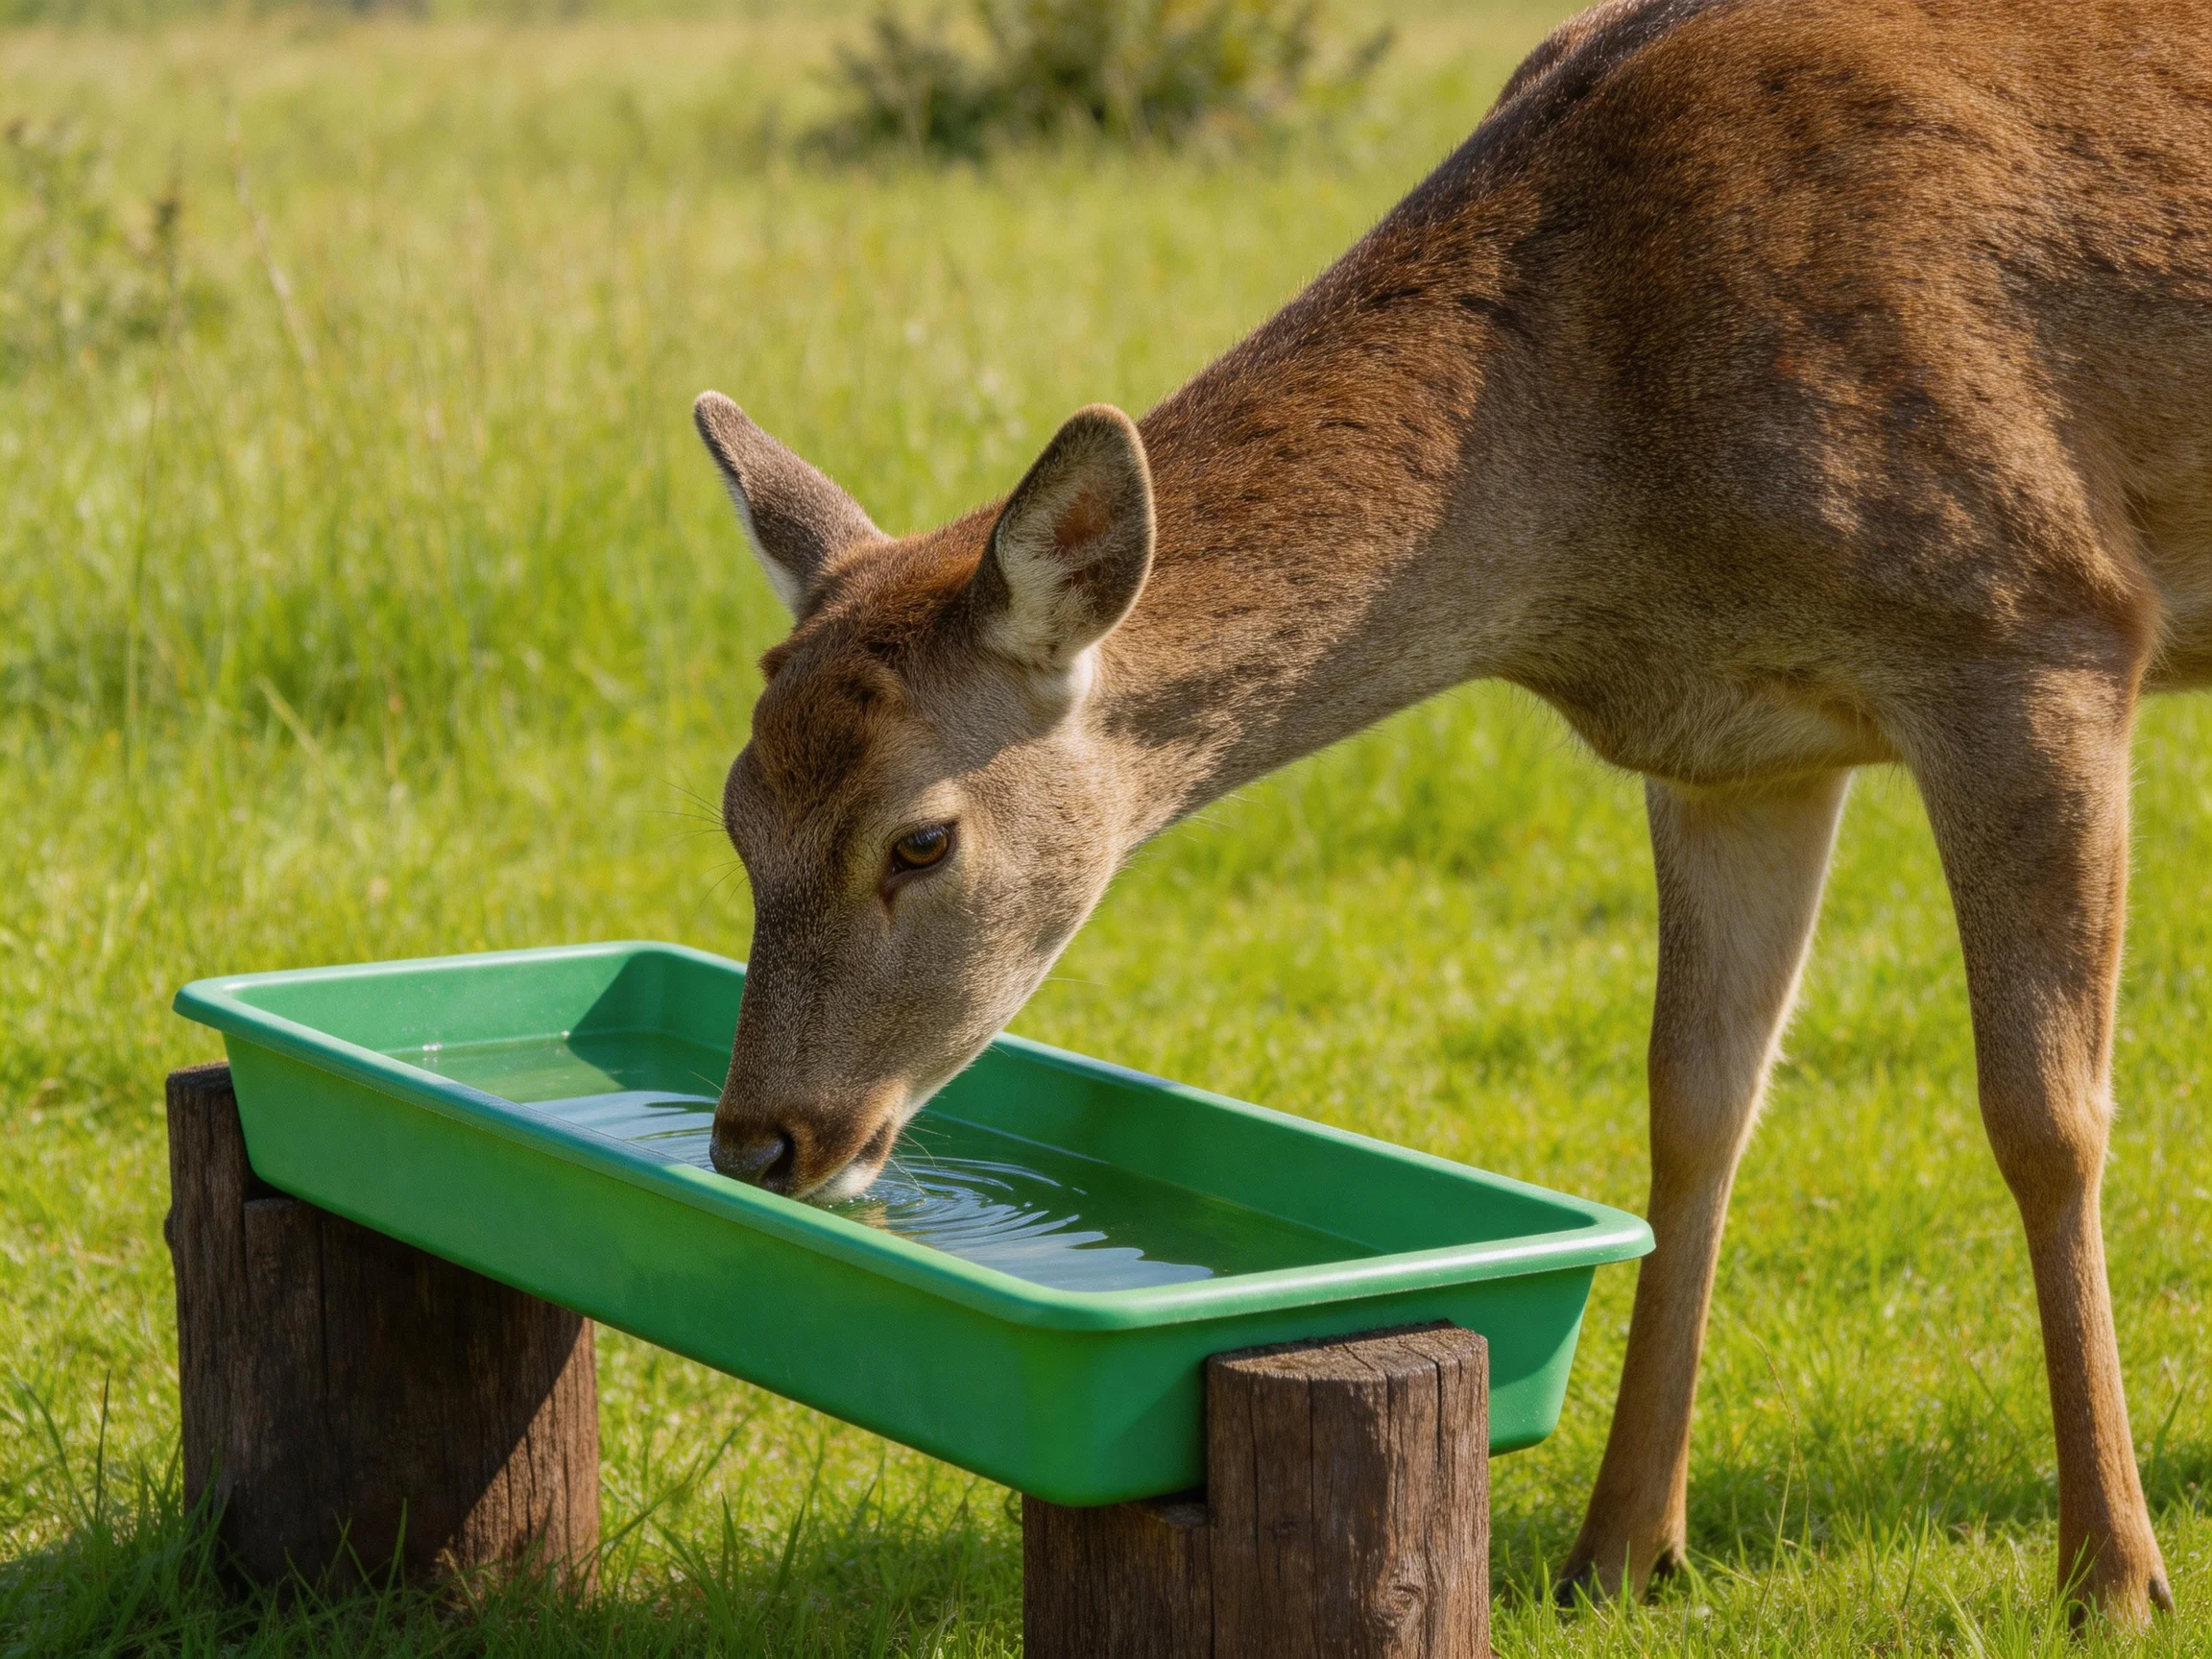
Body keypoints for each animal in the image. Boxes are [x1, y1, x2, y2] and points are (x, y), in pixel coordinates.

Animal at [689, 0, 2212, 1625]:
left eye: (922, 839)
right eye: (735, 813)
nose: (759, 1143)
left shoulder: (2035, 619)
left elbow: (2046, 1116)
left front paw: (2112, 1572)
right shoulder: (1738, 750)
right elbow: (1695, 1110)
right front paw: (1619, 1549)